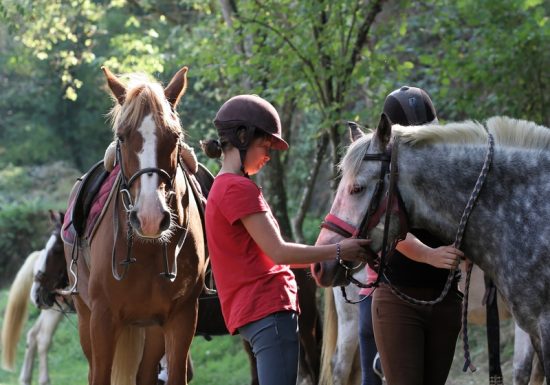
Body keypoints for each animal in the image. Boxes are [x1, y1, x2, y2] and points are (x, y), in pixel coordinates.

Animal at [64, 67, 206, 384]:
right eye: (122, 136)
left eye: (175, 136)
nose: (150, 217)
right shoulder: (103, 319)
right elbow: (99, 376)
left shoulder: (181, 318)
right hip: (85, 318)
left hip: (151, 328)